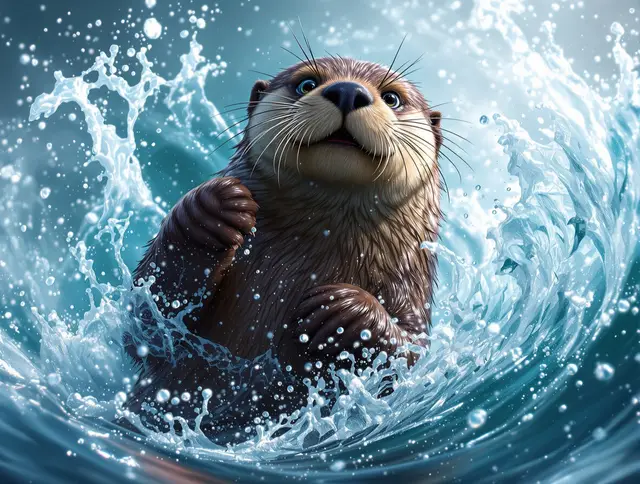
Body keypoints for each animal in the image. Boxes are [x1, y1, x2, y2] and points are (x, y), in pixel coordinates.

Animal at [125, 55, 442, 435]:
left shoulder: (411, 291)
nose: (348, 90)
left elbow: (409, 359)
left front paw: (345, 311)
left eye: (393, 98)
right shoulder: (154, 337)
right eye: (306, 84)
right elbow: (147, 322)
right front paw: (210, 208)